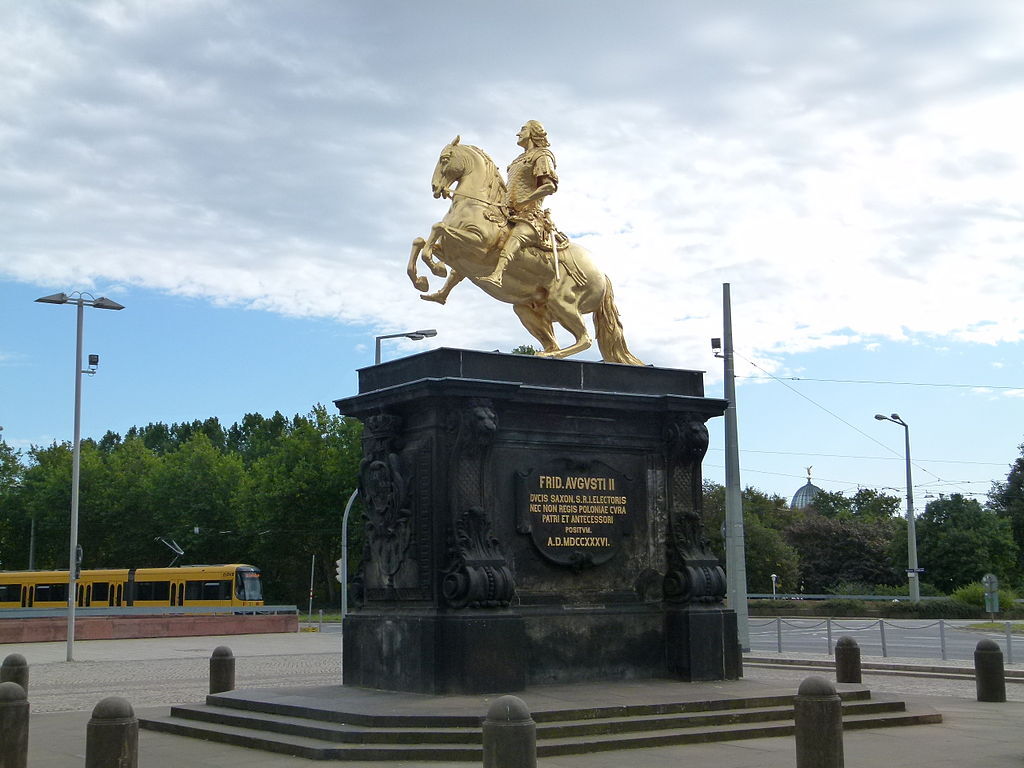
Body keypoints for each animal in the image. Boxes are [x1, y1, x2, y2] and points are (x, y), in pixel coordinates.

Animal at [405, 137, 638, 366]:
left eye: (444, 159)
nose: (435, 187)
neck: (477, 206)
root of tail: (602, 275)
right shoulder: (454, 252)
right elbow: (422, 242)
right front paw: (424, 281)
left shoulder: (477, 244)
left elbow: (437, 228)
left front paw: (435, 269)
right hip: (528, 310)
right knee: (554, 341)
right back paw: (544, 353)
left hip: (563, 303)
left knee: (585, 339)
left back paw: (550, 356)